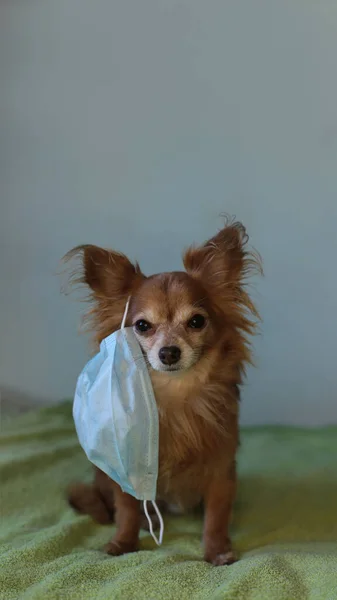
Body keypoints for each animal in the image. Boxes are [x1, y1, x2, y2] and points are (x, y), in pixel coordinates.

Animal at [64, 218, 262, 564]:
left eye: (196, 321)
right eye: (142, 326)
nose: (168, 352)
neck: (174, 396)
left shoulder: (221, 471)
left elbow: (216, 516)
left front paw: (217, 551)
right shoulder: (126, 476)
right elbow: (127, 511)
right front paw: (123, 543)